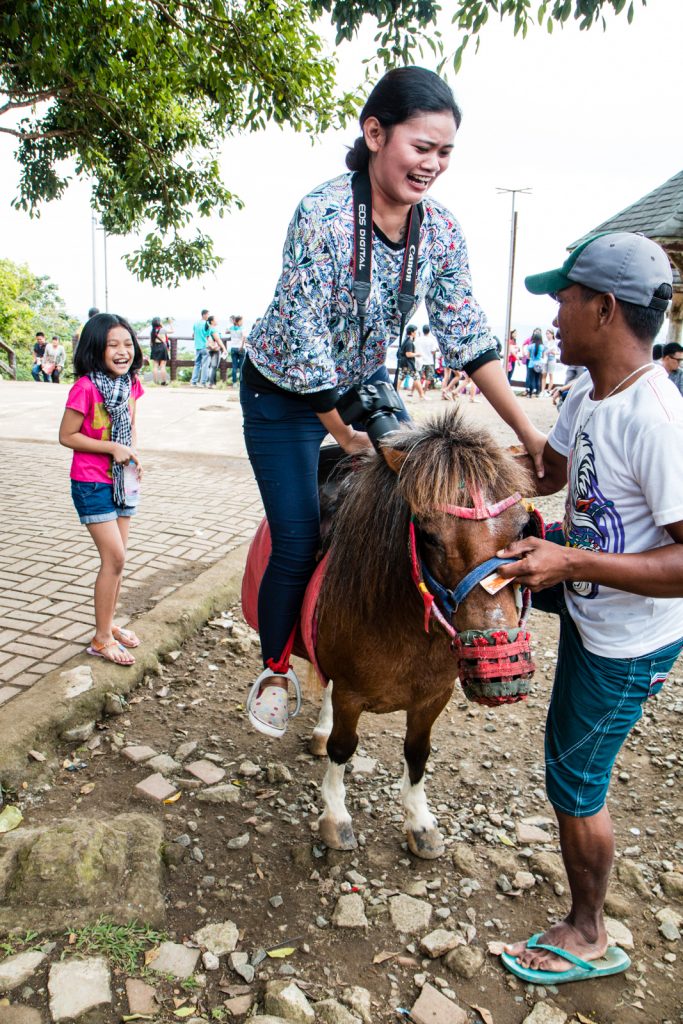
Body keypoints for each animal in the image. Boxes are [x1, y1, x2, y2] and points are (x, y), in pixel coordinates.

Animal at [313, 405, 536, 856]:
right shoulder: (350, 694)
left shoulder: (434, 696)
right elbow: (343, 748)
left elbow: (417, 752)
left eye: (523, 528)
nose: (498, 657)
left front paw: (419, 821)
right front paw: (335, 816)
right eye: (429, 535)